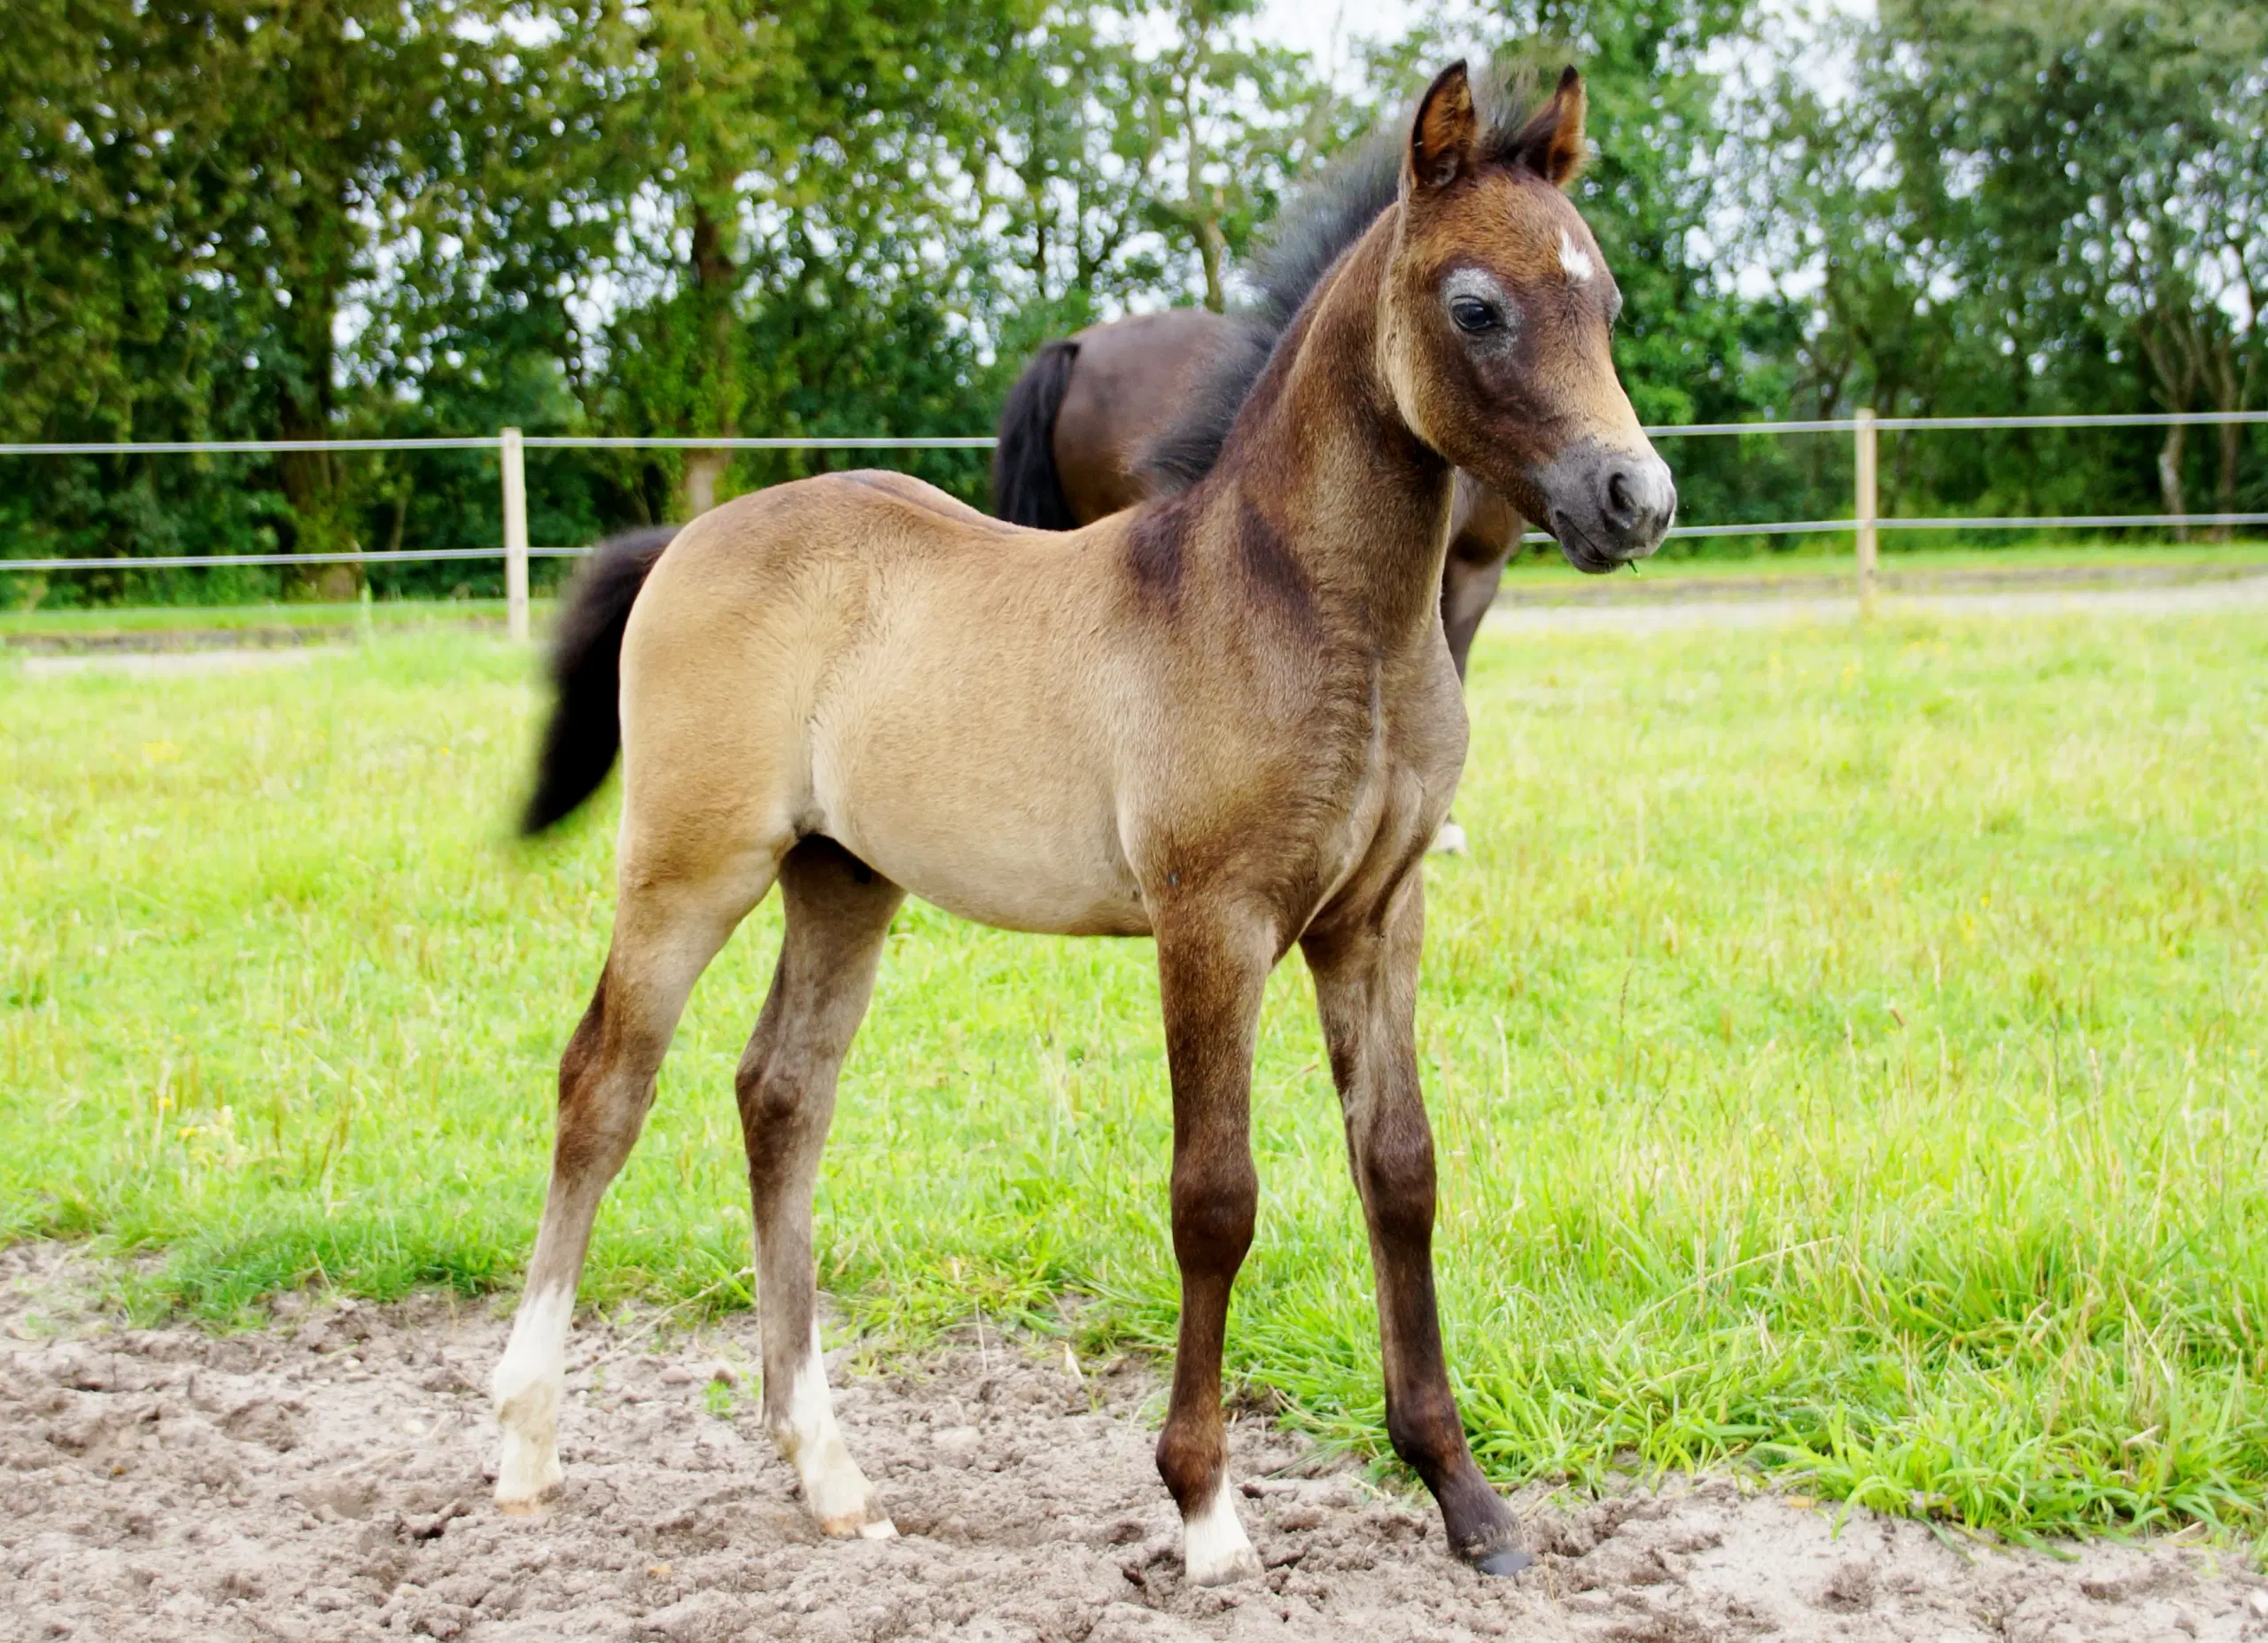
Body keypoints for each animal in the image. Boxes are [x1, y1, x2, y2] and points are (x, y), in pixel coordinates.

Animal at [492, 64, 1669, 1588]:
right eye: (1476, 306)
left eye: (1608, 301)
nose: (1634, 499)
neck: (1314, 609)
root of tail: (686, 540)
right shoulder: (1212, 920)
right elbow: (1215, 1196)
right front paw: (1206, 1509)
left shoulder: (1373, 917)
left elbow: (1401, 1171)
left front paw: (1468, 1500)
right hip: (693, 865)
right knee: (604, 1086)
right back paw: (525, 1441)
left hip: (841, 877)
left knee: (782, 1099)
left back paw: (829, 1475)